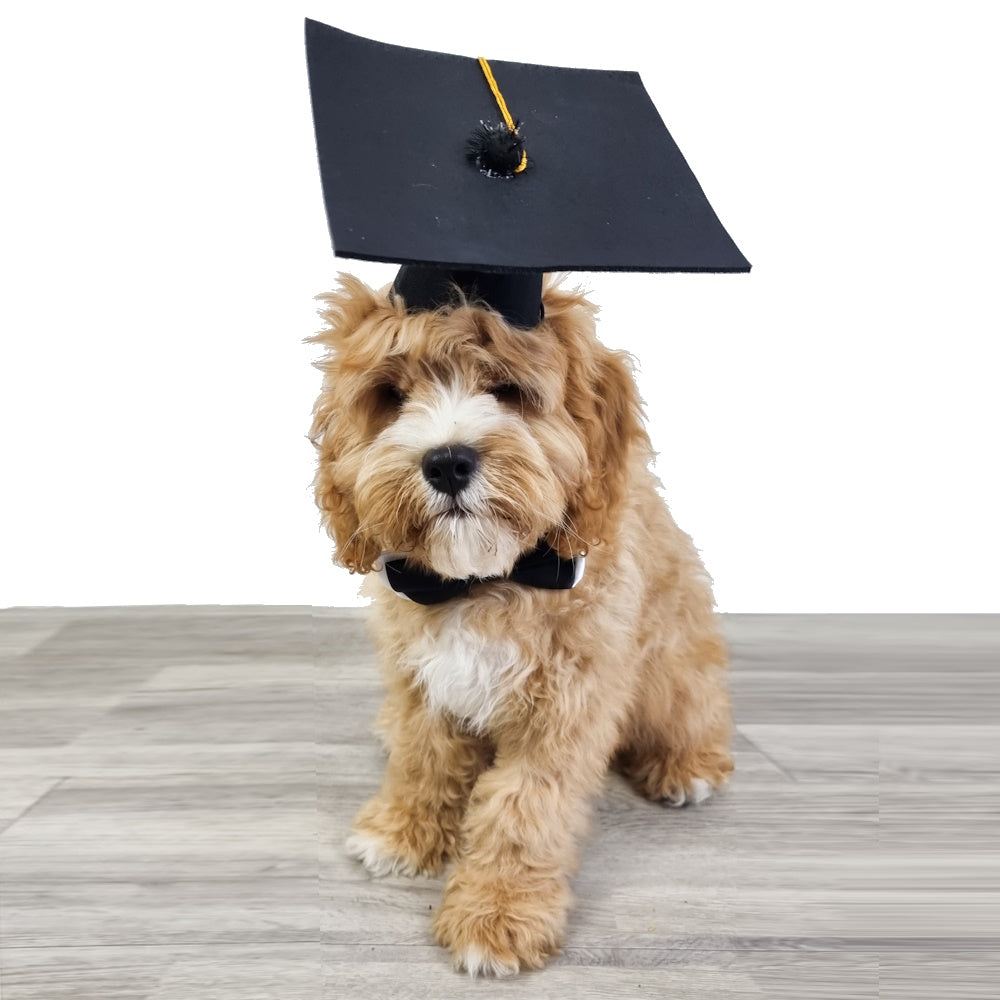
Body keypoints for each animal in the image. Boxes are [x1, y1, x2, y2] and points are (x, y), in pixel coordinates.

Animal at [310, 274, 736, 976]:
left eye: (507, 390)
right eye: (391, 397)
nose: (447, 462)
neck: (485, 581)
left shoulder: (568, 701)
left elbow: (523, 808)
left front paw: (497, 916)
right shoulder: (421, 676)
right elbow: (424, 758)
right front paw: (402, 831)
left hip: (673, 666)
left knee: (694, 711)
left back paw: (686, 766)